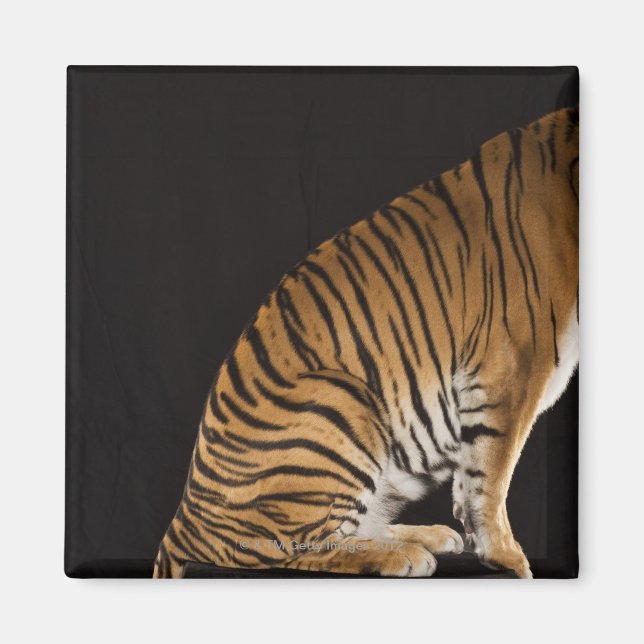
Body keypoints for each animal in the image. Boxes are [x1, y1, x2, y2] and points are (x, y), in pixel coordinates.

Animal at [153, 106, 579, 579]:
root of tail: (181, 518)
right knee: (291, 549)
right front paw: (508, 557)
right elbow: (492, 472)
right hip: (342, 401)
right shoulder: (513, 365)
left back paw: (429, 536)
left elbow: (471, 474)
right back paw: (404, 556)